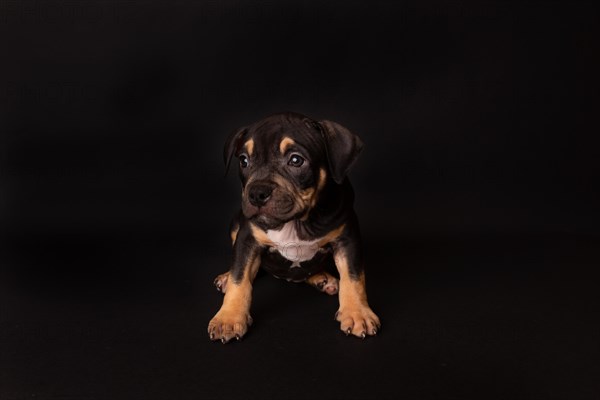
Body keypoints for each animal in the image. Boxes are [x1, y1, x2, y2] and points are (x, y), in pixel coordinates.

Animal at [210, 111, 380, 342]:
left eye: (296, 160)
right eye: (244, 161)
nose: (256, 193)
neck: (296, 222)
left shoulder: (348, 237)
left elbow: (354, 277)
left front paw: (358, 313)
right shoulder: (247, 238)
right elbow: (240, 277)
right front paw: (228, 317)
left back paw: (322, 278)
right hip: (235, 224)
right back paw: (226, 278)